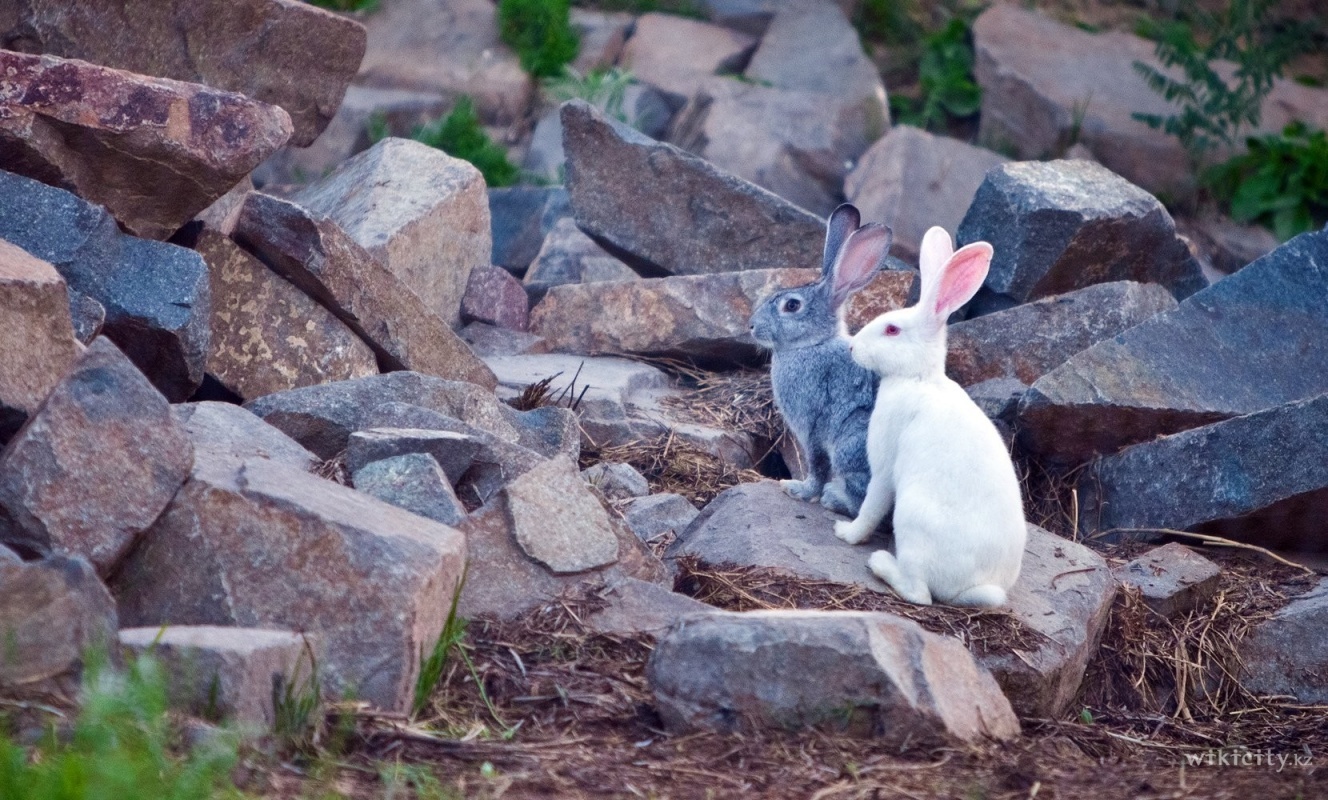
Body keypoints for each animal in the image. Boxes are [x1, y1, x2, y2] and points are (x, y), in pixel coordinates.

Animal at [748, 205, 892, 512]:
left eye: (792, 305)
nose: (751, 326)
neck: (814, 344)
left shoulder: (812, 427)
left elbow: (817, 466)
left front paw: (797, 490)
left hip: (850, 443)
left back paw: (834, 498)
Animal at [833, 224, 1030, 603]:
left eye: (892, 329)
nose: (852, 348)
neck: (918, 377)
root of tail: (971, 588)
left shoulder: (884, 467)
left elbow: (871, 504)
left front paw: (846, 532)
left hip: (912, 519)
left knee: (919, 593)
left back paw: (881, 563)